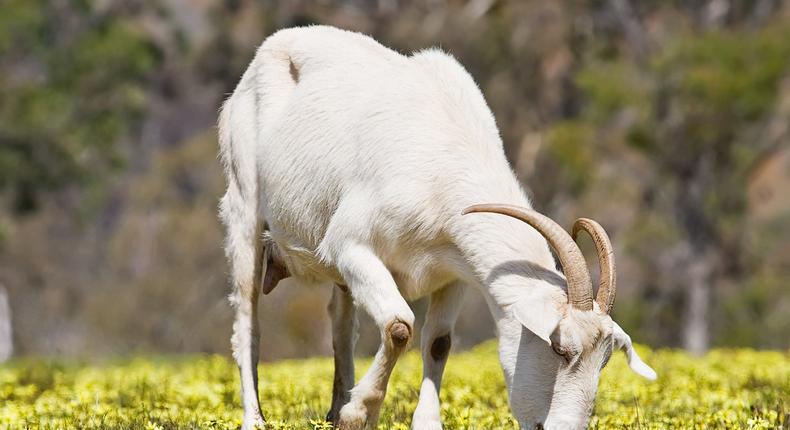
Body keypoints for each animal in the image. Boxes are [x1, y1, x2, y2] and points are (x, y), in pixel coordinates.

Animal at [218, 26, 656, 430]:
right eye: (561, 349)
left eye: (605, 359)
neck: (444, 166)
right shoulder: (351, 246)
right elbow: (398, 327)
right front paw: (359, 414)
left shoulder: (455, 272)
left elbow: (439, 342)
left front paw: (413, 421)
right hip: (244, 206)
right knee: (247, 321)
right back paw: (255, 418)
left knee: (341, 323)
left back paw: (334, 407)